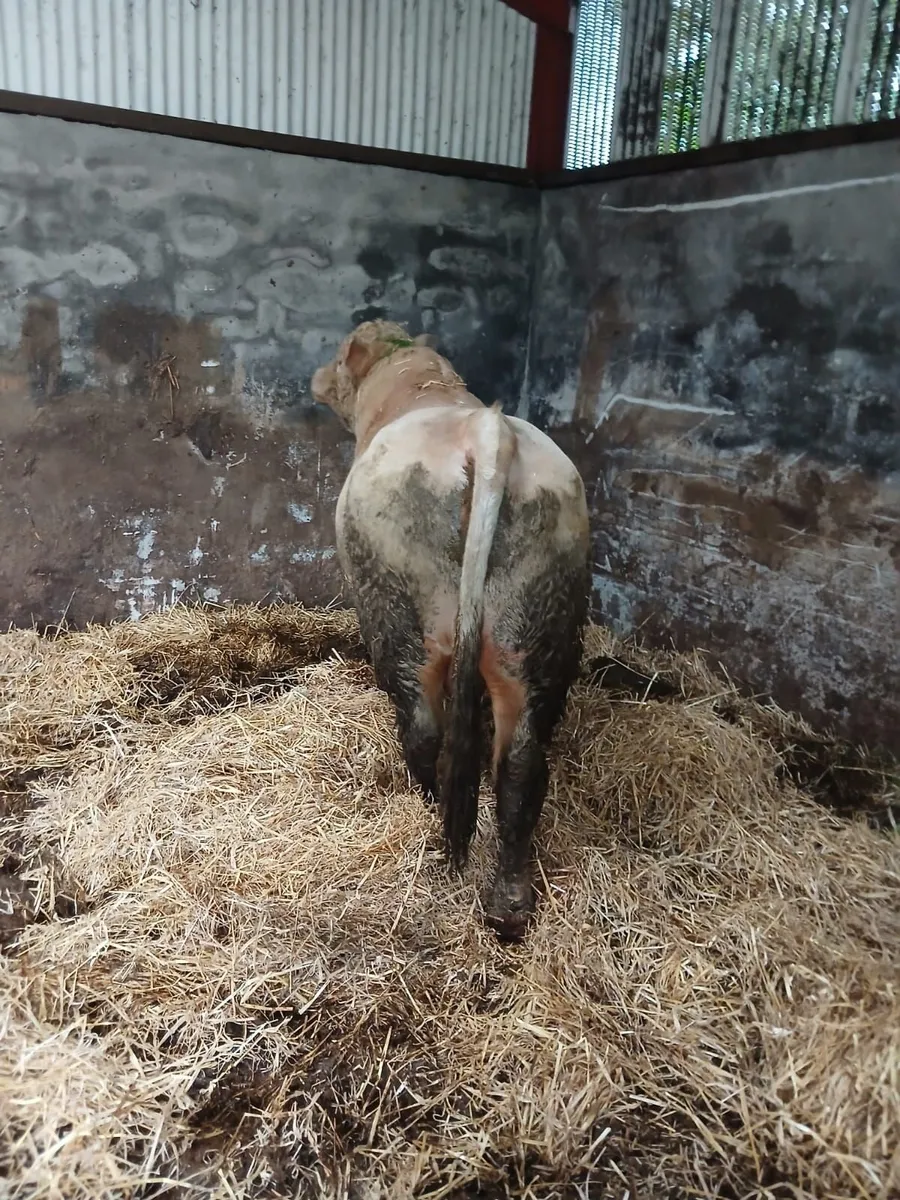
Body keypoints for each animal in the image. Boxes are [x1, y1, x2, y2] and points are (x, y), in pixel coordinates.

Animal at [311, 320, 590, 938]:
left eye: (338, 358)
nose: (316, 378)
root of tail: (484, 429)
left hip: (399, 615)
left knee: (424, 731)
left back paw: (430, 825)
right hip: (533, 625)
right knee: (520, 764)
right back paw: (509, 906)